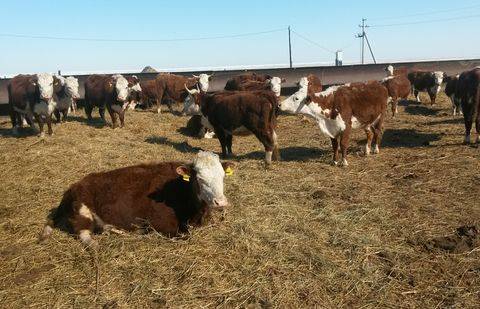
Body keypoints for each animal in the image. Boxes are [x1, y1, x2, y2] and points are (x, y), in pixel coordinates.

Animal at [40, 150, 235, 245]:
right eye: (200, 178)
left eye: (222, 176)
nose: (221, 202)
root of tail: (74, 185)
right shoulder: (162, 225)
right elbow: (181, 235)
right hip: (81, 209)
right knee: (83, 233)